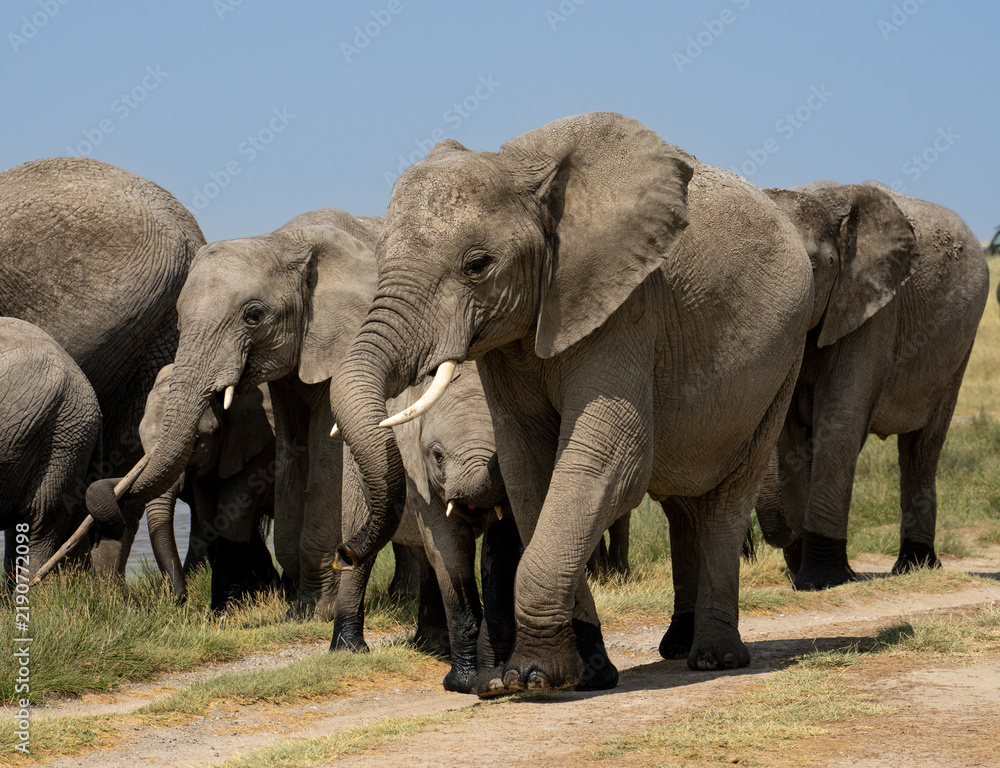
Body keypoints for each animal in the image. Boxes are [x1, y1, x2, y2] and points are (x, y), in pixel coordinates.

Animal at [138, 364, 279, 612]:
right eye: (141, 439)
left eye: (195, 442)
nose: (179, 599)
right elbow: (210, 517)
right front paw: (256, 596)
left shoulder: (261, 446)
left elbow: (234, 511)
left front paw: (227, 612)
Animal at [333, 360, 521, 693]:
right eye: (437, 455)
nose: (340, 553)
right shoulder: (416, 472)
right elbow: (451, 549)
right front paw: (464, 683)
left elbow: (499, 549)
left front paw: (495, 678)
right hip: (355, 473)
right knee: (365, 545)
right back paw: (349, 650)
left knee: (427, 556)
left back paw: (433, 648)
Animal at [755, 181, 989, 590]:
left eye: (812, 269)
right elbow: (791, 434)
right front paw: (809, 574)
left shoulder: (874, 309)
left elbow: (840, 422)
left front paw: (820, 580)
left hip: (959, 346)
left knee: (921, 449)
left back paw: (915, 566)